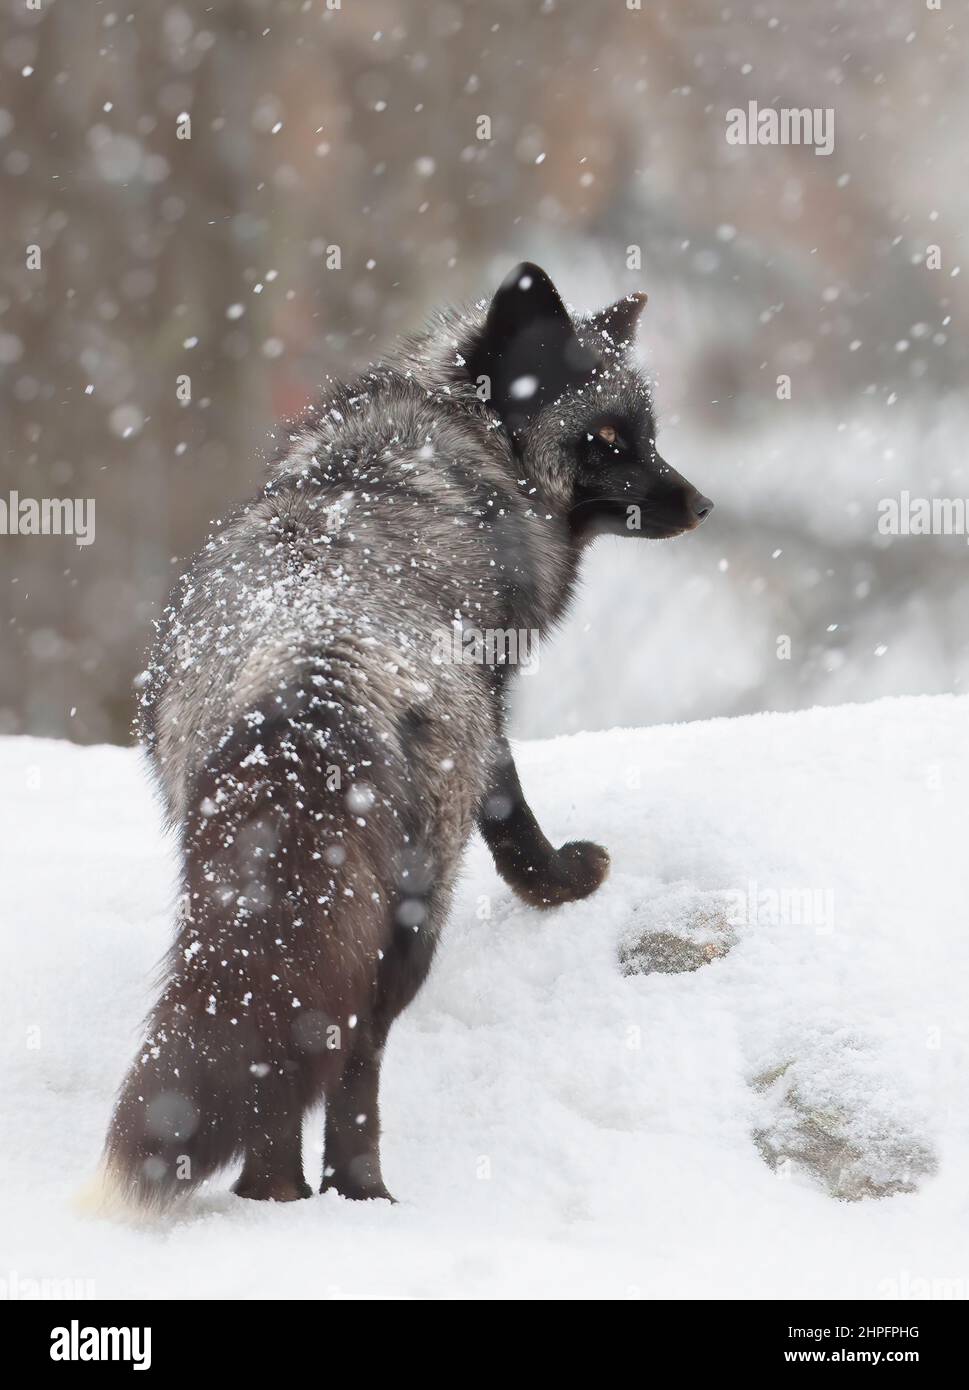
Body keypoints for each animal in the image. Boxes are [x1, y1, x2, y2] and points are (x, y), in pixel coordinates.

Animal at [102, 261, 711, 1206]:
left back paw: (272, 1197)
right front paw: (562, 883)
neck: (442, 440)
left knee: (289, 1043)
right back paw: (363, 1194)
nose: (700, 503)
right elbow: (513, 818)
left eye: (646, 434)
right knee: (354, 1048)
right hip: (411, 913)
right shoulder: (493, 708)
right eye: (609, 438)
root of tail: (315, 676)